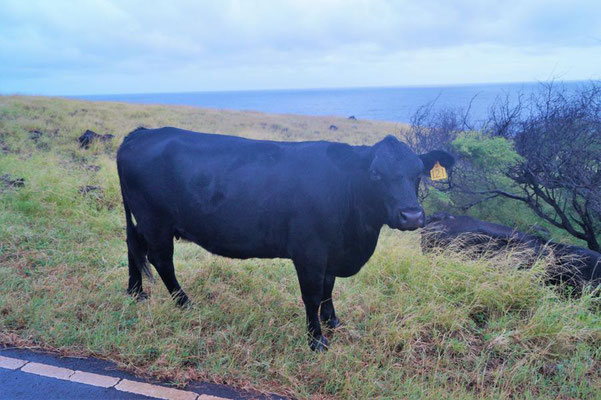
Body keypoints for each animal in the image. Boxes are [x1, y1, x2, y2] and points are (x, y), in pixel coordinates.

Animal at [117, 127, 452, 350]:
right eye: (375, 174)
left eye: (418, 174)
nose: (412, 216)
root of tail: (142, 133)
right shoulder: (309, 252)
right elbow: (312, 294)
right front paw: (316, 339)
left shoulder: (330, 251)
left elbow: (329, 288)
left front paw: (332, 320)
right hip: (156, 220)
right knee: (161, 260)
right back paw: (184, 302)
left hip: (143, 221)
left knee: (134, 246)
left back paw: (135, 291)